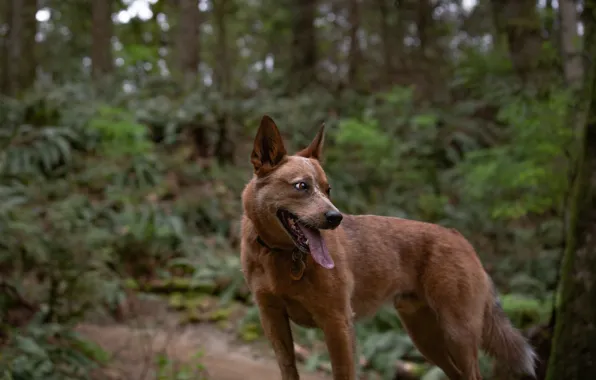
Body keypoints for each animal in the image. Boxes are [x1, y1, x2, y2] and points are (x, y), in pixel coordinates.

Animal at [240, 116, 536, 380]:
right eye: (301, 186)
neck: (280, 256)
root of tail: (460, 238)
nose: (336, 218)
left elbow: (344, 374)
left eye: (327, 189)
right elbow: (288, 370)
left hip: (457, 333)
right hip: (425, 336)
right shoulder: (272, 318)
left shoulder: (338, 323)